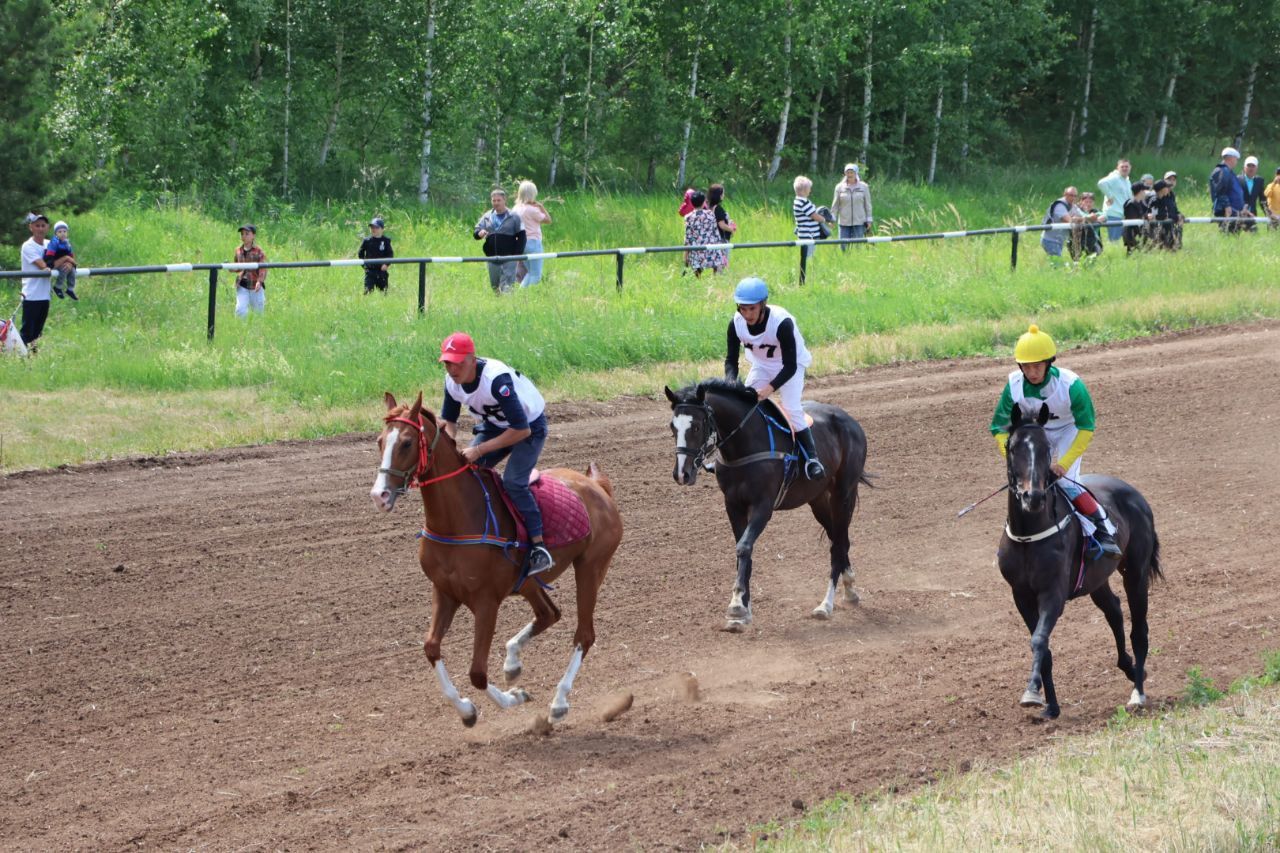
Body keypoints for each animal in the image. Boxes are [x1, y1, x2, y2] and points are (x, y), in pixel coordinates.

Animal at [368, 391, 622, 722]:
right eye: (379, 441)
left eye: (407, 443)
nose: (380, 495)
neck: (458, 519)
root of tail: (598, 487)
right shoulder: (444, 591)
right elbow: (431, 647)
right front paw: (467, 710)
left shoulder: (486, 601)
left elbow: (477, 672)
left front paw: (513, 698)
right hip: (527, 581)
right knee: (549, 613)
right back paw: (512, 662)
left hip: (591, 568)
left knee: (584, 635)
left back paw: (559, 701)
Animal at [665, 376, 875, 625]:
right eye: (672, 427)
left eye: (696, 426)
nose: (682, 474)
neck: (744, 446)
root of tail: (851, 421)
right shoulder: (733, 505)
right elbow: (742, 550)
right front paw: (743, 611)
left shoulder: (763, 506)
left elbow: (744, 547)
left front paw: (737, 605)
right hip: (818, 500)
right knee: (840, 540)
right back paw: (850, 590)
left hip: (843, 494)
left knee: (838, 544)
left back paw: (826, 604)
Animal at [1003, 404, 1167, 717]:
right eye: (1013, 447)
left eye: (1046, 448)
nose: (1033, 496)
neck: (1030, 534)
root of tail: (1135, 494)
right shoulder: (1021, 595)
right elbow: (1043, 647)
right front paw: (1050, 706)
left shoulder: (1053, 594)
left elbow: (1039, 639)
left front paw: (1032, 693)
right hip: (1096, 579)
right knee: (1114, 610)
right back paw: (1129, 668)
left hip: (1135, 572)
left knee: (1139, 629)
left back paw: (1138, 692)